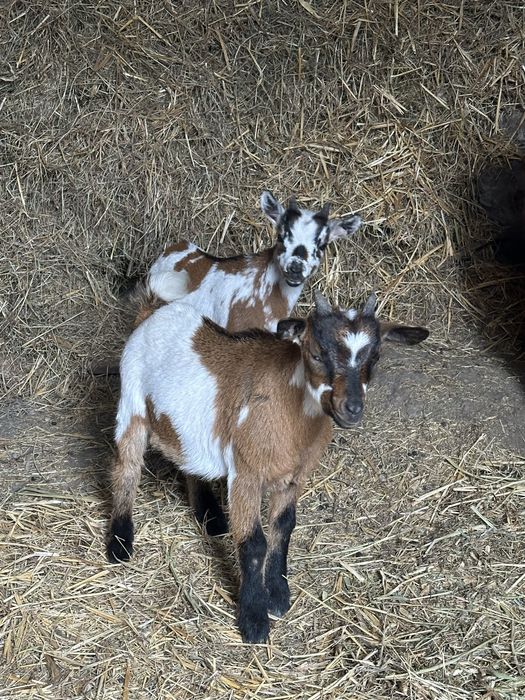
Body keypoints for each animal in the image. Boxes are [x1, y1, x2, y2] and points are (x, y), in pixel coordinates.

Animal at [107, 292, 429, 643]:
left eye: (377, 356)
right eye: (316, 353)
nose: (352, 409)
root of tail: (153, 310)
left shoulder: (293, 478)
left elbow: (284, 527)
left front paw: (277, 594)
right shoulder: (246, 473)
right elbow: (253, 543)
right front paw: (254, 619)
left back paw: (211, 517)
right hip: (132, 403)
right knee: (126, 467)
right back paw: (120, 542)